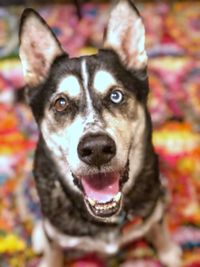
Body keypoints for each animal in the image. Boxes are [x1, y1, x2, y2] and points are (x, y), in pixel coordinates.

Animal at [19, 1, 182, 266]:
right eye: (61, 103)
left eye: (116, 95)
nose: (96, 149)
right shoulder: (56, 236)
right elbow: (53, 251)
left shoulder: (153, 215)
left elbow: (159, 231)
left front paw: (170, 253)